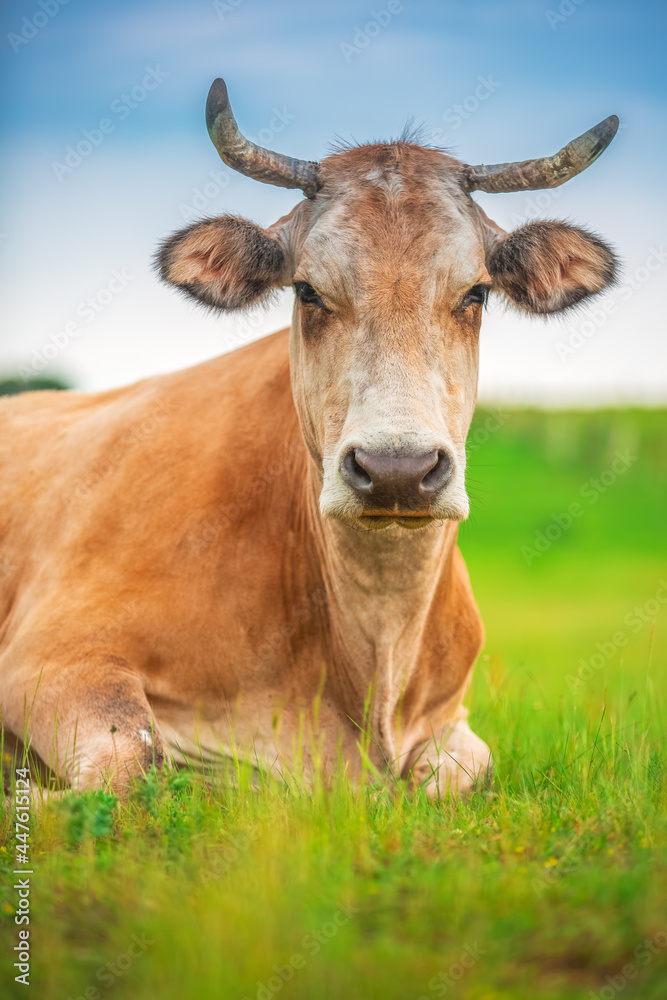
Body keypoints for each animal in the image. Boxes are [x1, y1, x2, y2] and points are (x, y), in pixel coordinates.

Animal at [0, 78, 620, 796]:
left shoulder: (451, 723)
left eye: (476, 294)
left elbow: (464, 770)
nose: (396, 469)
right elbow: (135, 766)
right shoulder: (48, 657)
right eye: (306, 290)